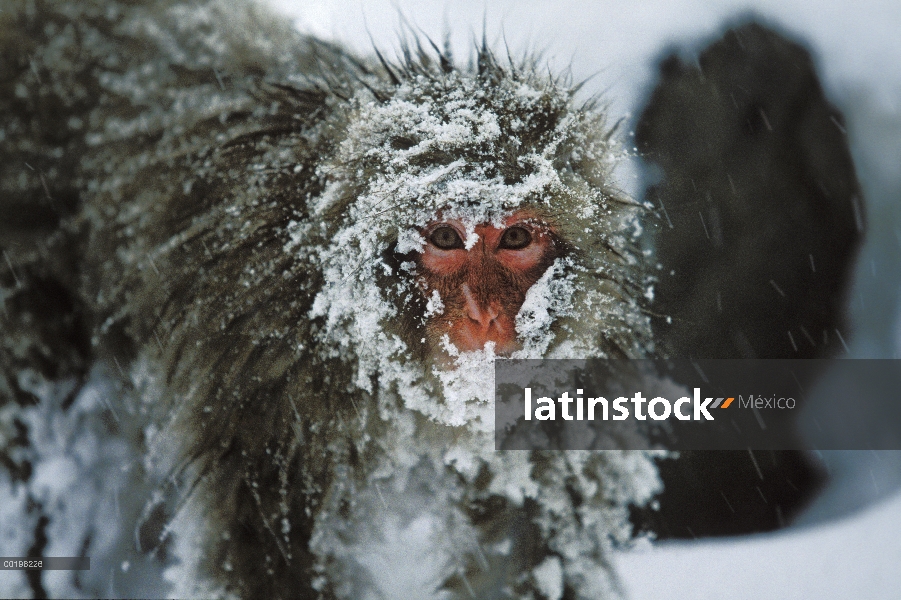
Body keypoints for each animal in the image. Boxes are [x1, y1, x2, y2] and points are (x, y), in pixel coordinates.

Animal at [1, 2, 660, 596]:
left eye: (516, 238)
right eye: (446, 238)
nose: (485, 314)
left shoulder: (572, 382)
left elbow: (532, 546)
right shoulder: (262, 368)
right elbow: (267, 547)